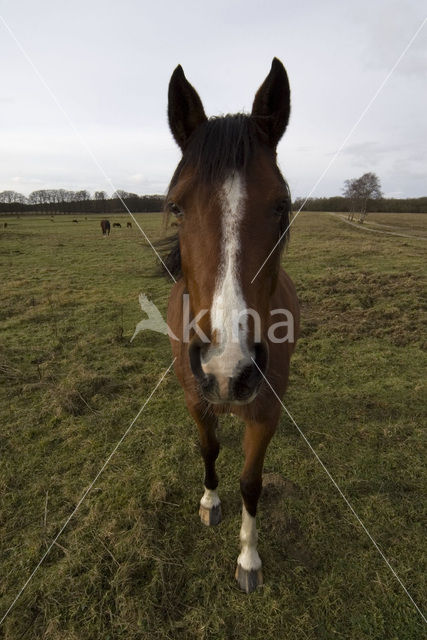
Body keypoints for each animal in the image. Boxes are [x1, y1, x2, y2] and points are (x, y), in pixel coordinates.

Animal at [166, 57, 300, 592]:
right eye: (176, 206)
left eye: (282, 205)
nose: (228, 368)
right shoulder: (194, 399)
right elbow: (209, 450)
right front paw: (209, 502)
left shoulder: (265, 412)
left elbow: (251, 481)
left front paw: (248, 558)